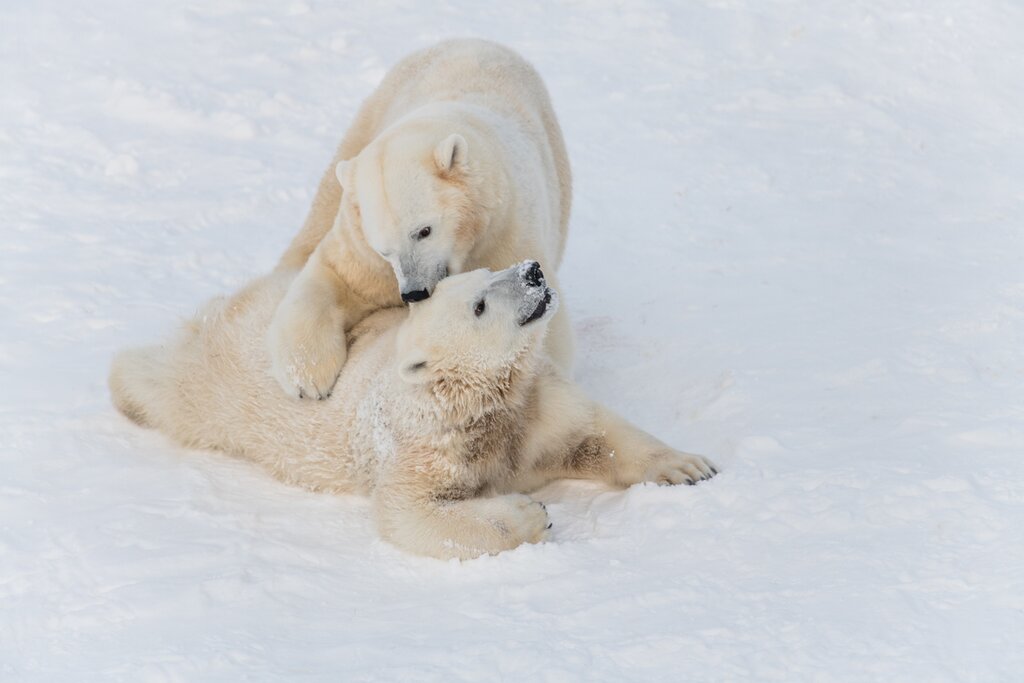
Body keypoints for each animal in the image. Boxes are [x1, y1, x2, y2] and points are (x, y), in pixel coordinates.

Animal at [110, 262, 718, 560]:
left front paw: (687, 466)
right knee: (160, 383)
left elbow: (595, 432)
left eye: (492, 269)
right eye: (479, 303)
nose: (534, 270)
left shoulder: (535, 405)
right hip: (212, 392)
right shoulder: (426, 445)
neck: (487, 402)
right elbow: (411, 512)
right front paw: (531, 514)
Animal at [268, 38, 574, 402]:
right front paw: (307, 380)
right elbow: (339, 276)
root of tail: (478, 42)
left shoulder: (505, 229)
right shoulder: (363, 244)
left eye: (424, 231)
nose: (413, 292)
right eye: (384, 249)